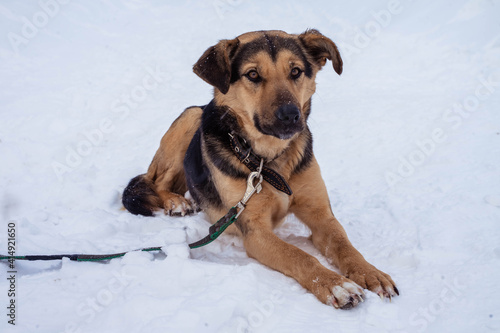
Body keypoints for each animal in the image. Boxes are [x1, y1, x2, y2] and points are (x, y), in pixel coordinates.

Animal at [122, 29, 398, 308]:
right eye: (253, 74)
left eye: (296, 71)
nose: (290, 115)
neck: (269, 160)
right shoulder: (255, 232)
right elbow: (299, 255)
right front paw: (335, 285)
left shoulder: (322, 215)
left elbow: (345, 245)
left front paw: (370, 272)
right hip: (190, 117)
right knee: (156, 182)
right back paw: (175, 202)